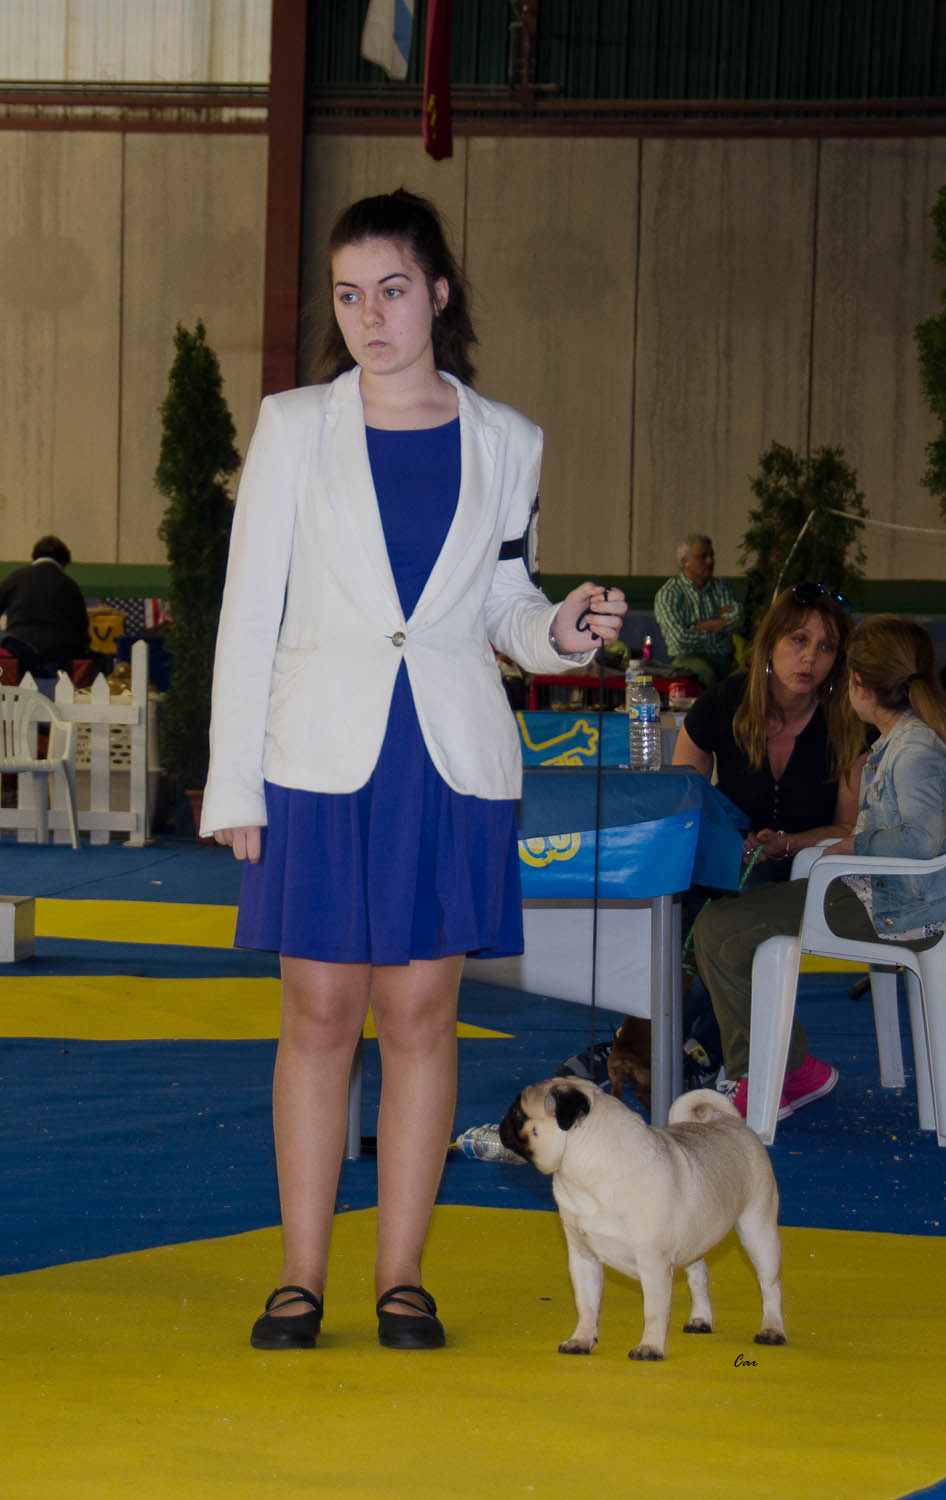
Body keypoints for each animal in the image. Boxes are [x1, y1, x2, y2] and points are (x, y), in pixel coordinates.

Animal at [499, 1079, 786, 1361]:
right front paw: (581, 1340)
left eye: (518, 1113)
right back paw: (701, 1319)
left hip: (757, 1231)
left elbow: (654, 1311)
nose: (502, 1123)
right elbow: (586, 1305)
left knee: (770, 1285)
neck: (587, 1174)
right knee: (699, 1275)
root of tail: (728, 1119)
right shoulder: (583, 1258)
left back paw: (772, 1330)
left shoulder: (653, 1263)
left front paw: (650, 1347)